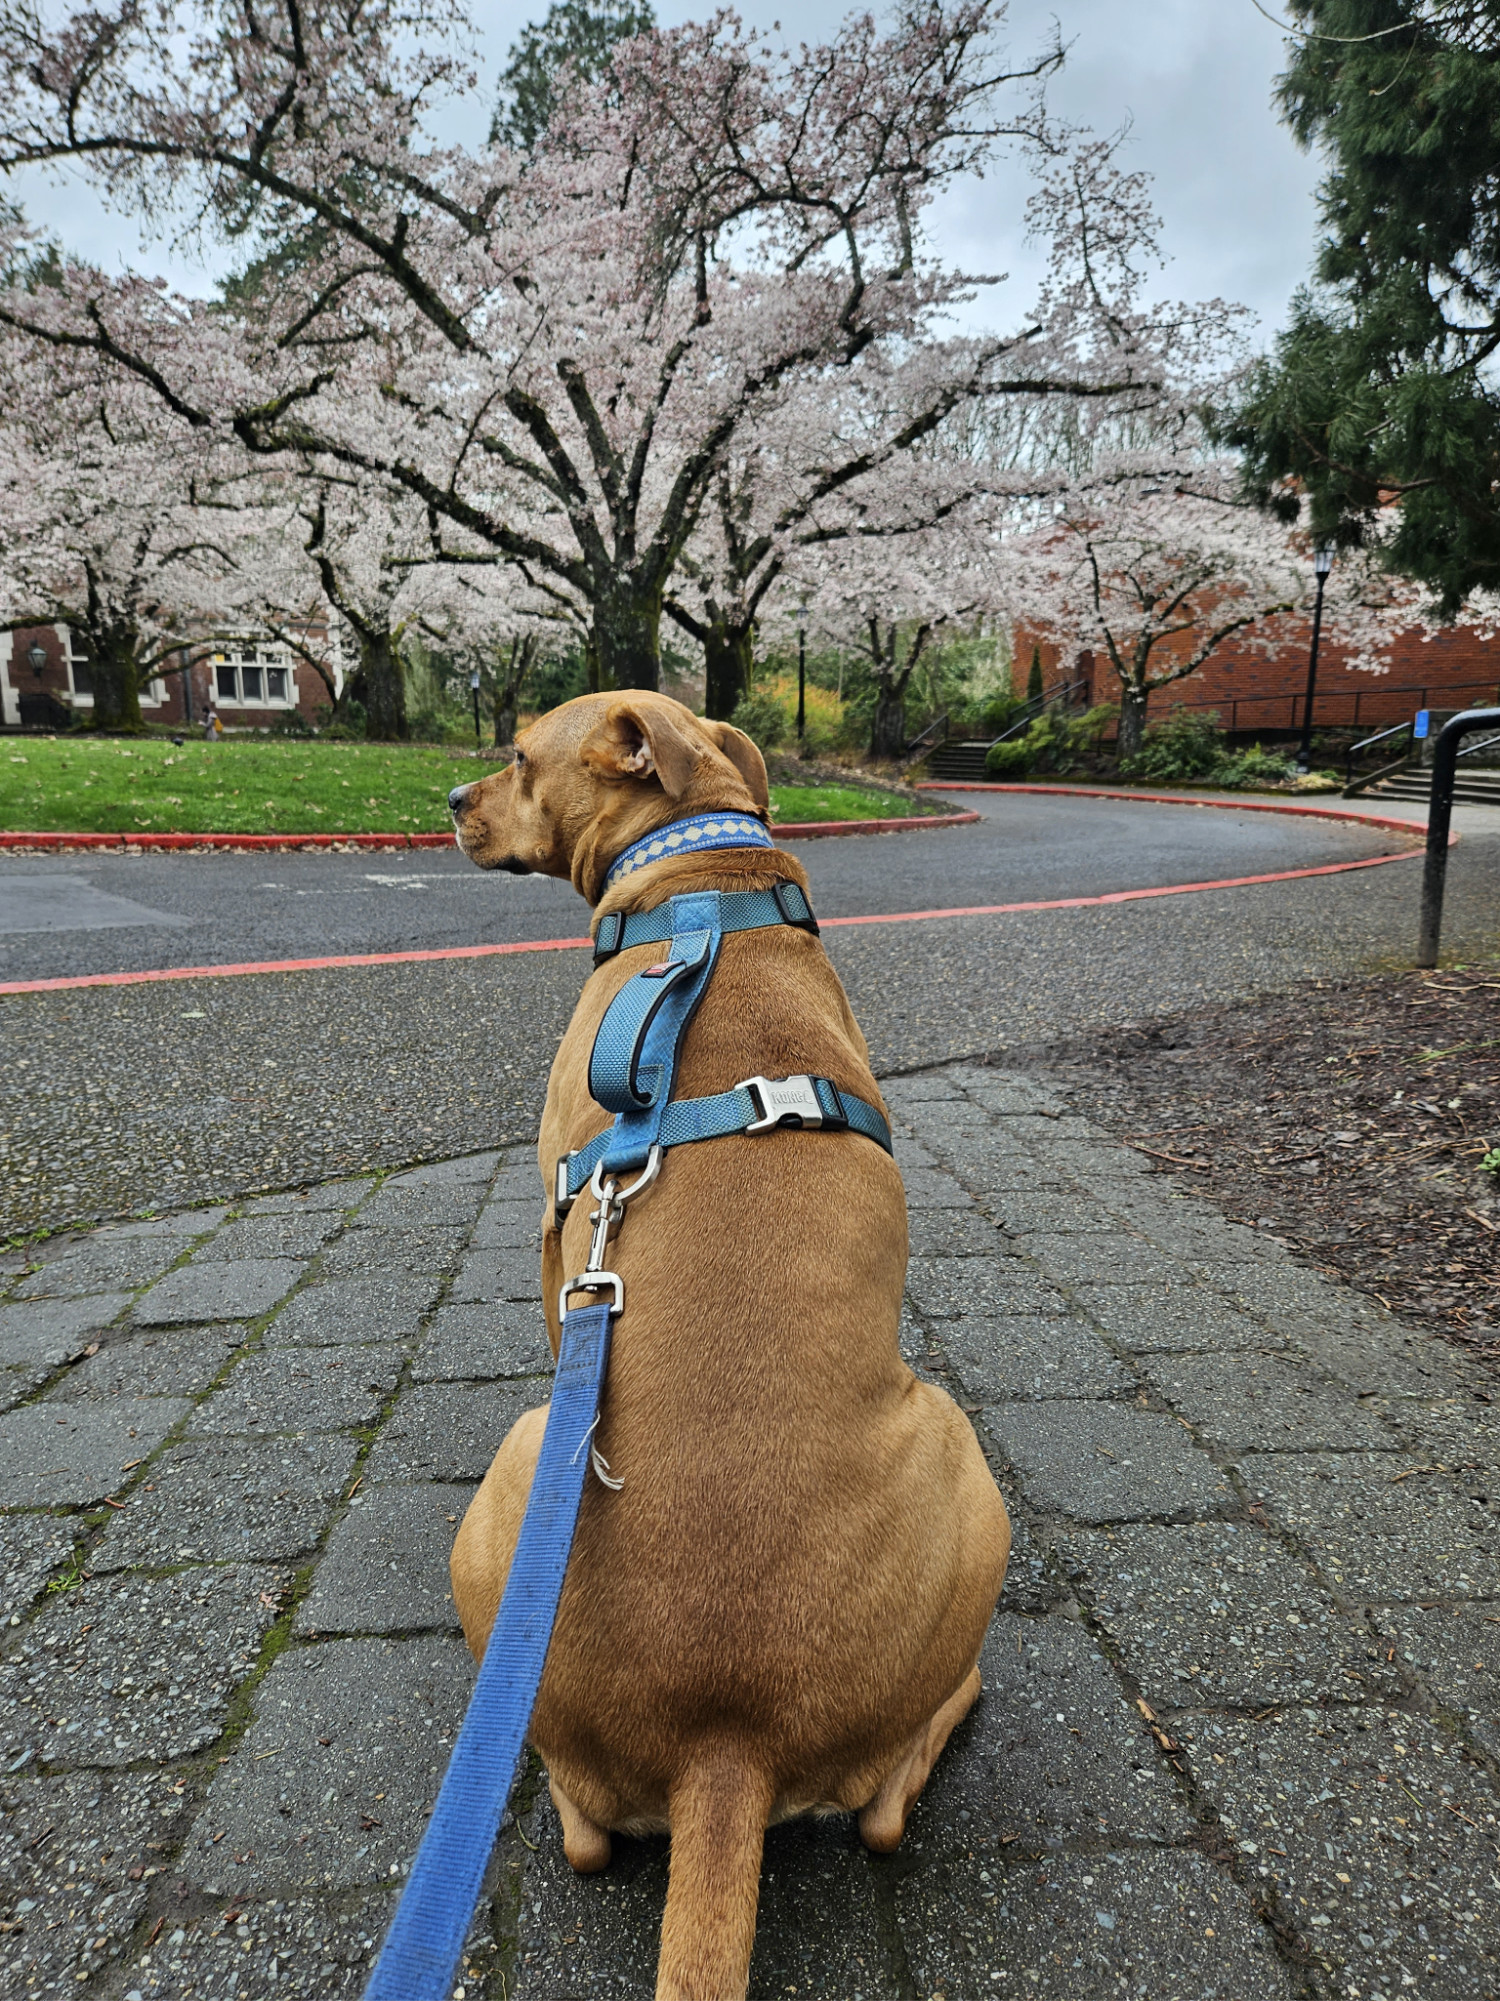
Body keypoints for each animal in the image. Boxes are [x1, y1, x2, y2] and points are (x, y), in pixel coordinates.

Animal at [446, 692, 1012, 2000]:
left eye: (518, 757)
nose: (446, 803)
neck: (700, 883)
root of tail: (724, 1744)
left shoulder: (556, 1228)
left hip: (542, 1444)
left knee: (858, 1805)